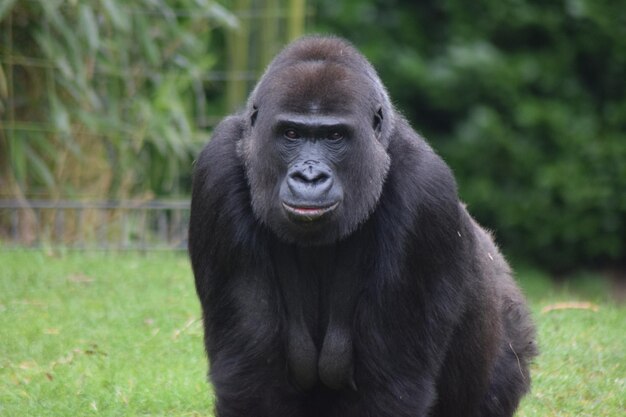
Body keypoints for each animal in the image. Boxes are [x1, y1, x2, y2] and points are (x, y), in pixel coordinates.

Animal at [188, 36, 532, 416]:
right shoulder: (217, 170)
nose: (310, 177)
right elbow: (252, 374)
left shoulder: (424, 191)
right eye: (291, 133)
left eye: (335, 136)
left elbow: (390, 384)